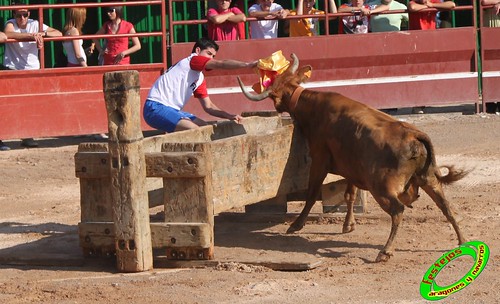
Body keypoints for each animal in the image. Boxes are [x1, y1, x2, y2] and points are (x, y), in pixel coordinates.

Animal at [238, 54, 468, 262]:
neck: (311, 105)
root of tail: (413, 135)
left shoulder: (319, 159)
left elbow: (312, 193)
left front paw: (296, 224)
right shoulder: (350, 168)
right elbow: (349, 195)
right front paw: (348, 224)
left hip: (382, 188)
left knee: (398, 210)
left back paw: (385, 251)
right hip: (429, 179)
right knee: (446, 207)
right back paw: (462, 241)